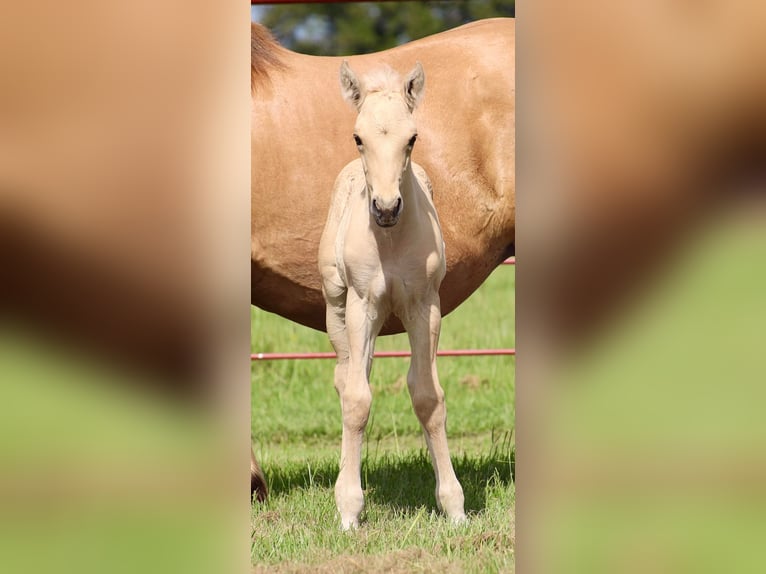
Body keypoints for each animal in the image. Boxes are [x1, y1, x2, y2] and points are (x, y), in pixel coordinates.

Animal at [320, 62, 468, 532]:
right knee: (348, 379)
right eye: (358, 137)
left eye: (412, 138)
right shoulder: (361, 305)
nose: (386, 209)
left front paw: (453, 504)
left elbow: (428, 397)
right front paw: (349, 508)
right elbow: (356, 400)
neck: (390, 243)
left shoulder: (425, 306)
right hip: (337, 308)